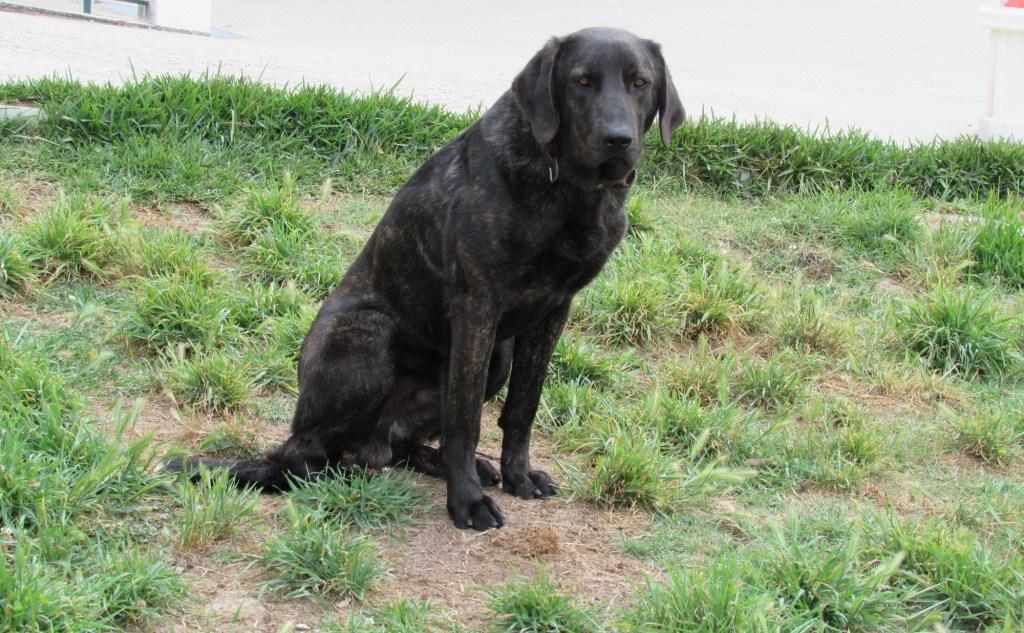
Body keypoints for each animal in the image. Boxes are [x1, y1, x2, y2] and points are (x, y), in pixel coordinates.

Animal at [172, 28, 684, 528]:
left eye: (640, 83)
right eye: (582, 81)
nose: (618, 139)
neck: (568, 187)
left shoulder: (553, 310)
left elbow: (523, 408)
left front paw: (517, 475)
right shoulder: (477, 305)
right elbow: (464, 420)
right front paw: (467, 503)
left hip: (496, 356)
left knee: (398, 445)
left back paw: (444, 462)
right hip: (367, 333)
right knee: (304, 456)